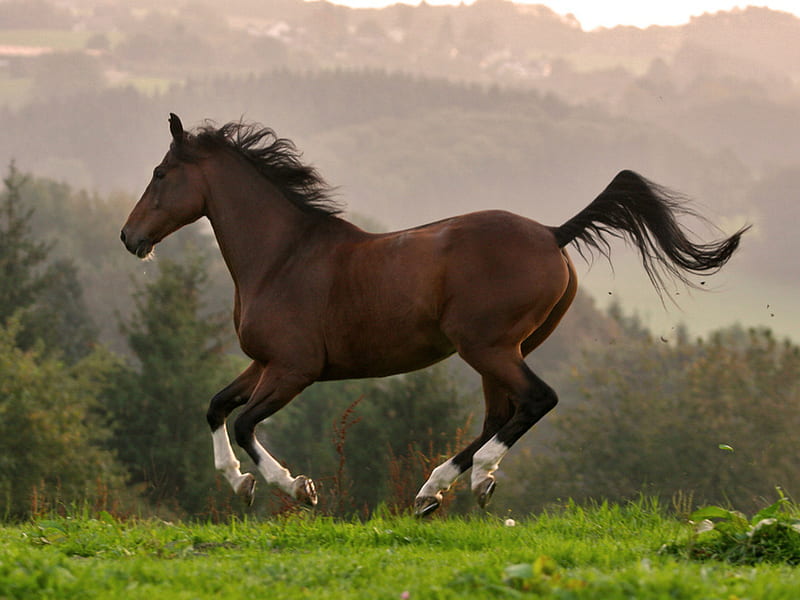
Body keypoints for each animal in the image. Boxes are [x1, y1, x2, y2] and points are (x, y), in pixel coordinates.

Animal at [120, 113, 752, 516]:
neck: (282, 256)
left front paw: (296, 488)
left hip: (487, 346)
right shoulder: (264, 363)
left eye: (159, 175)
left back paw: (469, 480)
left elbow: (246, 422)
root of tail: (553, 233)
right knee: (501, 412)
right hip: (503, 350)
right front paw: (239, 484)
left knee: (533, 402)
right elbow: (216, 406)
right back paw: (441, 489)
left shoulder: (294, 369)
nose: (129, 238)